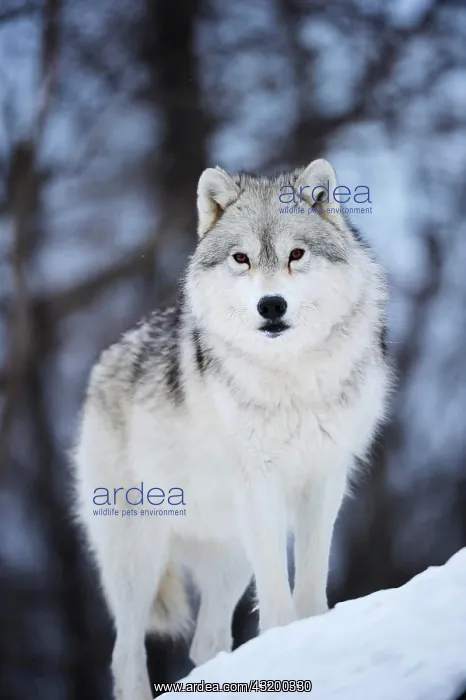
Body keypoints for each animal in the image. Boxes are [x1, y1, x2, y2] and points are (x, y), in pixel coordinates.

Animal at [73, 159, 389, 700]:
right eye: (242, 258)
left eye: (296, 254)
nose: (271, 306)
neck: (291, 378)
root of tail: (105, 359)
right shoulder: (259, 482)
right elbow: (278, 595)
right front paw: (287, 641)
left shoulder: (324, 478)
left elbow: (311, 576)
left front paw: (313, 632)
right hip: (138, 555)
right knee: (126, 654)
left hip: (230, 555)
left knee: (207, 642)